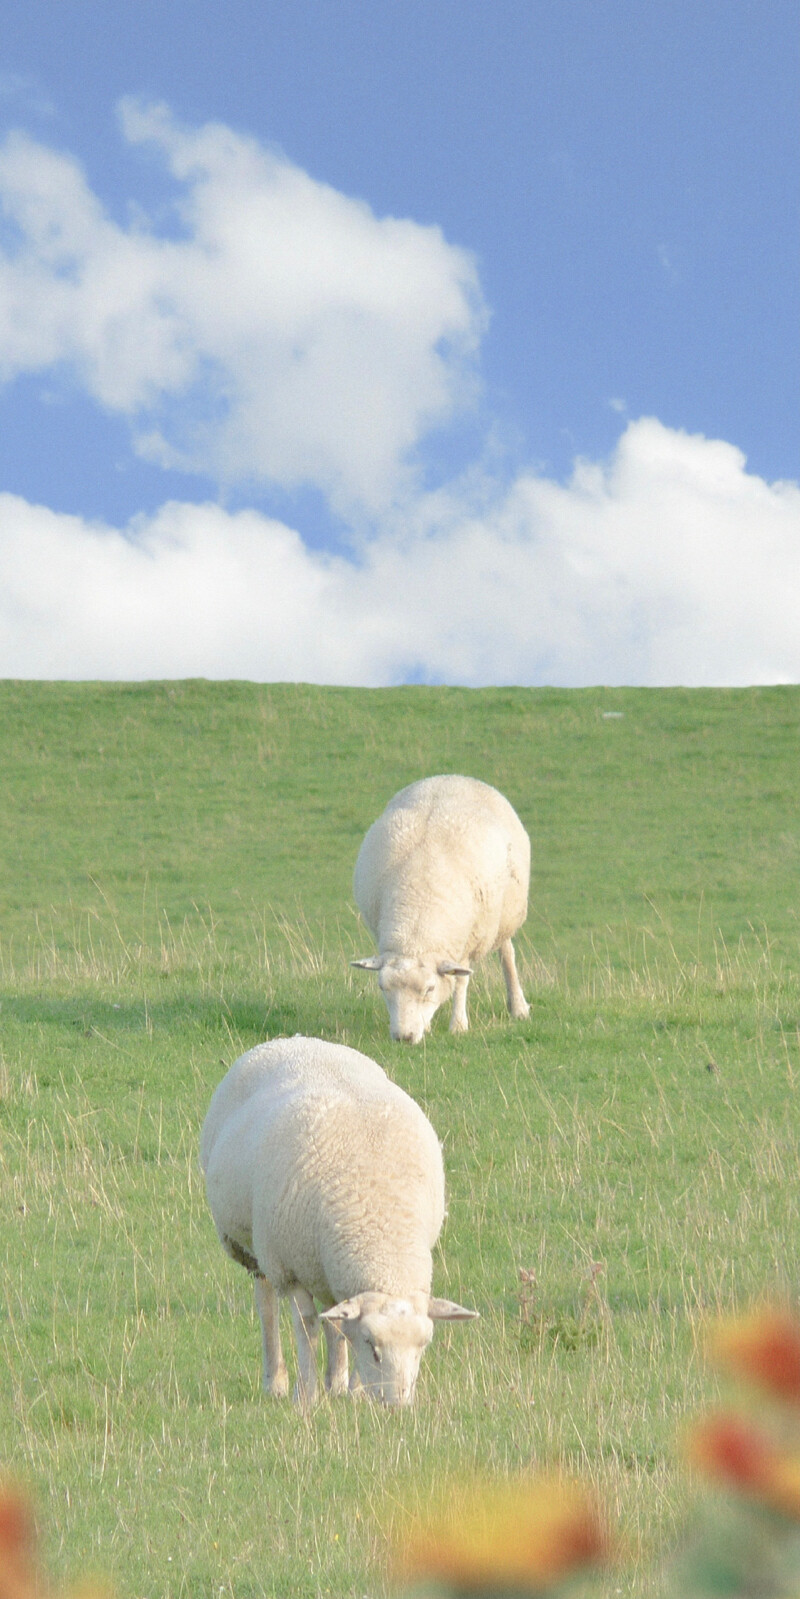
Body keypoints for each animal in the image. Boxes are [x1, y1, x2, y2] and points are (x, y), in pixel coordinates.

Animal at [200, 1029, 473, 1407]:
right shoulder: (289, 1269)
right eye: (373, 1347)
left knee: (334, 1317)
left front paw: (352, 1391)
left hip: (324, 1265)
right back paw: (277, 1381)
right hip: (256, 1250)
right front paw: (306, 1395)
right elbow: (307, 1328)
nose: (398, 1407)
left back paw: (337, 1382)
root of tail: (295, 1039)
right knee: (267, 1306)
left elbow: (340, 1327)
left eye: (422, 1347)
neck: (381, 1229)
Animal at [352, 777, 531, 1048]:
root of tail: (454, 776)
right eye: (383, 989)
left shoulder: (467, 941)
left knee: (507, 953)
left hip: (504, 916)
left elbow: (460, 982)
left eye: (429, 989)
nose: (403, 1038)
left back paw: (518, 1007)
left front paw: (458, 1025)